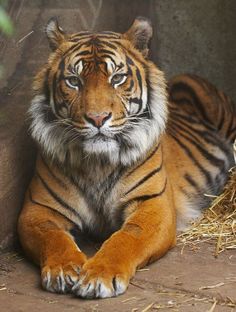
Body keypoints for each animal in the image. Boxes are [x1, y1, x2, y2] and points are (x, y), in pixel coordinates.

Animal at [18, 16, 236, 298]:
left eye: (118, 78)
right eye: (74, 81)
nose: (97, 118)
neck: (97, 163)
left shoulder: (153, 203)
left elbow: (127, 237)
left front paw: (99, 275)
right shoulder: (37, 209)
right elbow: (53, 237)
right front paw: (64, 269)